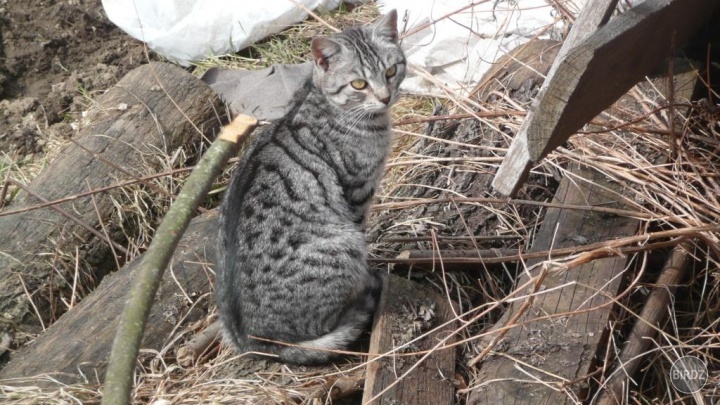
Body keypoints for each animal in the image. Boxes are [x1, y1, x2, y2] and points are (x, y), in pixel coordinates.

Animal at [214, 10, 404, 362]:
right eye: (359, 84)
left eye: (391, 71)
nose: (386, 97)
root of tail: (253, 341)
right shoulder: (357, 193)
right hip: (345, 243)